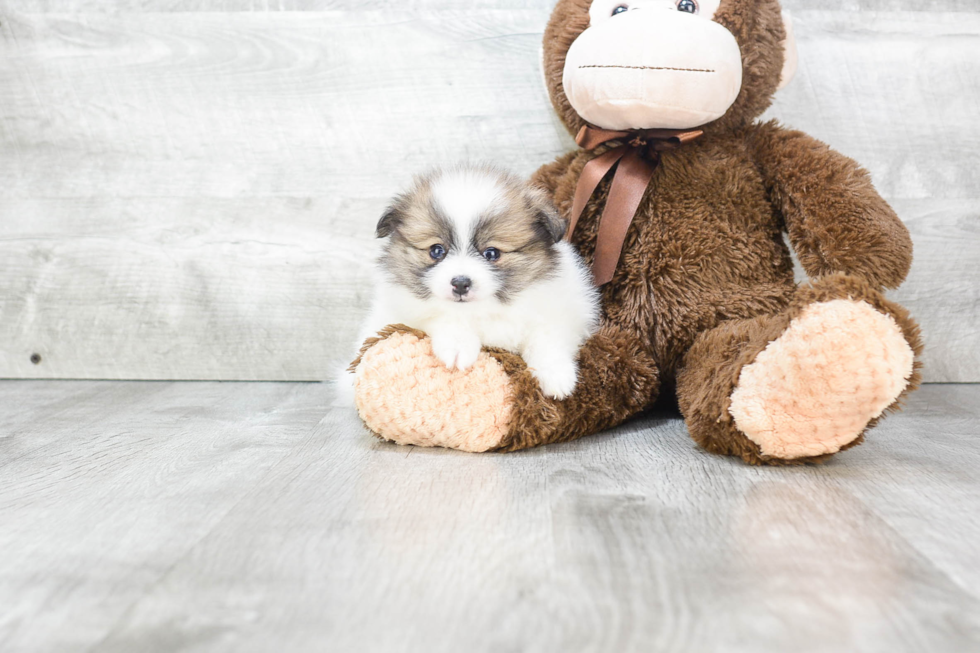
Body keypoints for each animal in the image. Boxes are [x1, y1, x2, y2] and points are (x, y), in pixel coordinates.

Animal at [348, 164, 600, 398]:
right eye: (436, 251)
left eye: (491, 253)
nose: (460, 283)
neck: (484, 311)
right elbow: (443, 316)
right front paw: (458, 345)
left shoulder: (562, 310)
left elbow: (547, 337)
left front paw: (556, 375)